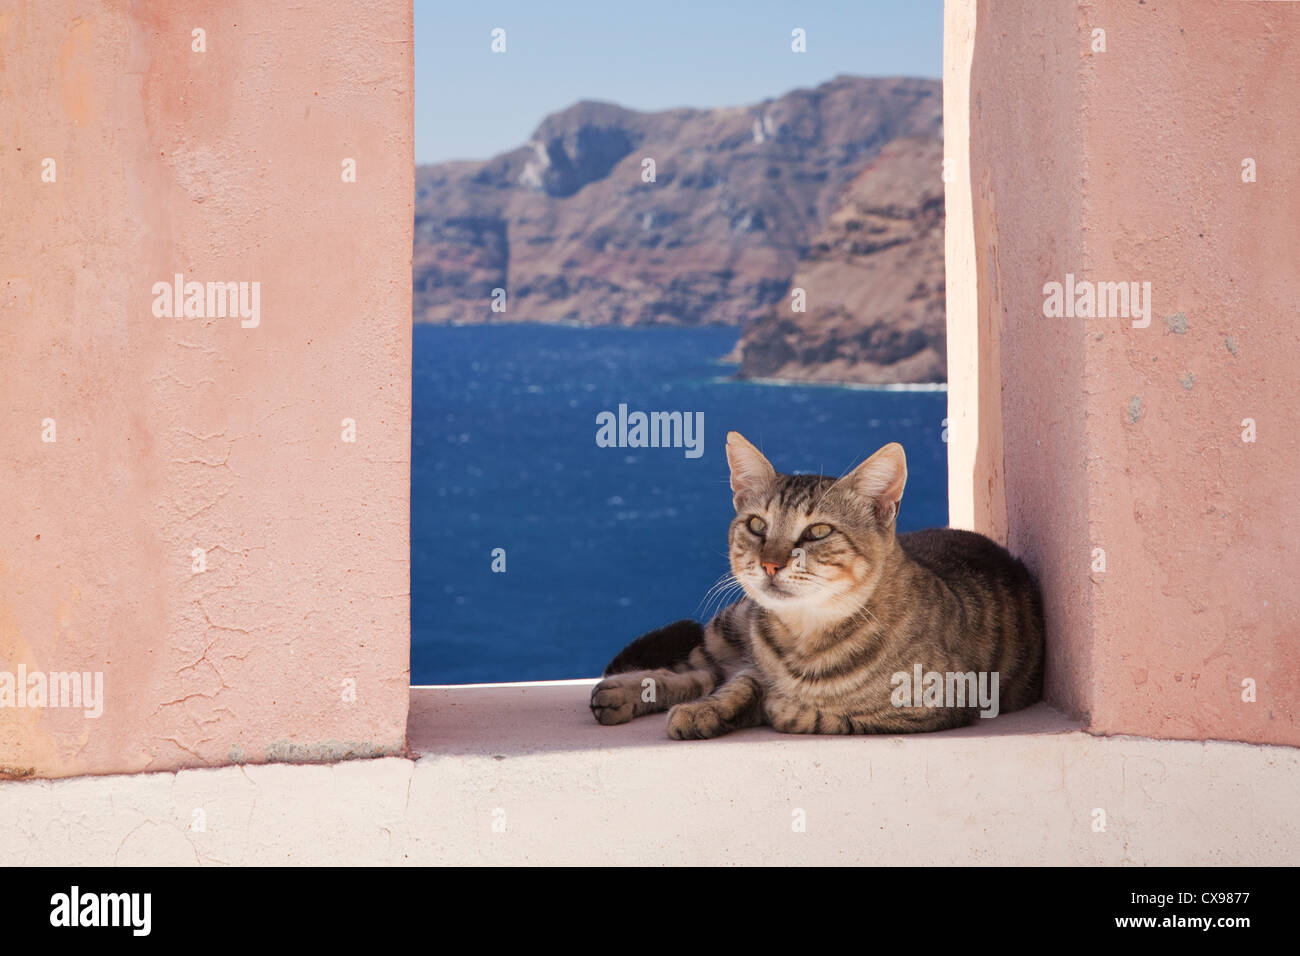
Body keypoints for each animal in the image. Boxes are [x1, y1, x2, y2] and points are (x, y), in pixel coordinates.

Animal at [590, 434, 1045, 738]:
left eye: (818, 532)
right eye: (757, 525)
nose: (770, 563)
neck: (803, 636)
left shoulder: (938, 707)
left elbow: (822, 715)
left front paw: (774, 707)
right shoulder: (752, 663)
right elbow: (737, 684)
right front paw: (707, 710)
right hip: (728, 626)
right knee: (696, 668)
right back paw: (626, 690)